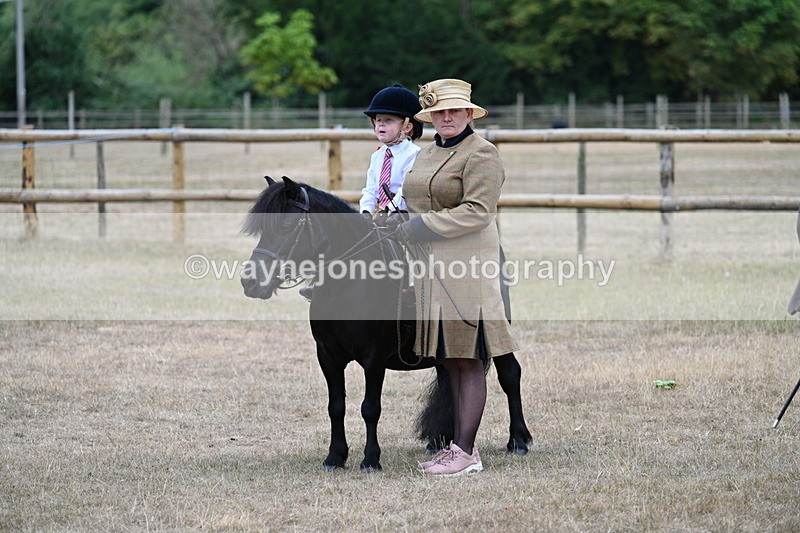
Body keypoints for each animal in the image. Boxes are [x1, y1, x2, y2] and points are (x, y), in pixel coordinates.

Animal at [240, 176, 531, 472]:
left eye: (286, 226)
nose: (250, 281)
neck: (348, 286)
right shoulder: (328, 355)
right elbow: (336, 406)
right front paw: (335, 457)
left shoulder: (374, 357)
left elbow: (370, 408)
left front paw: (370, 459)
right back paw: (441, 441)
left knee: (510, 375)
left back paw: (518, 441)